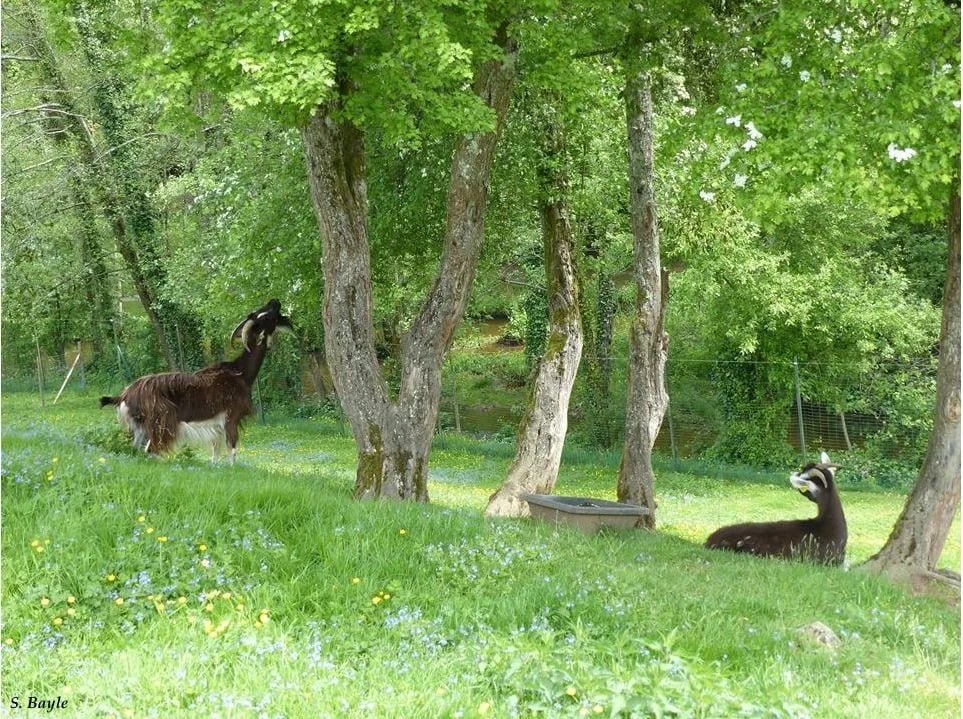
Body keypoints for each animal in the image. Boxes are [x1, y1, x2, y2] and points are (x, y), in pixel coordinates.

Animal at [100, 300, 294, 464]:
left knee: (137, 451)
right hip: (162, 422)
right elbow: (232, 451)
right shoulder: (231, 418)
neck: (240, 373)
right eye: (266, 316)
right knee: (151, 450)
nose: (275, 301)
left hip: (139, 429)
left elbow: (215, 455)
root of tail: (124, 396)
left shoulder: (215, 427)